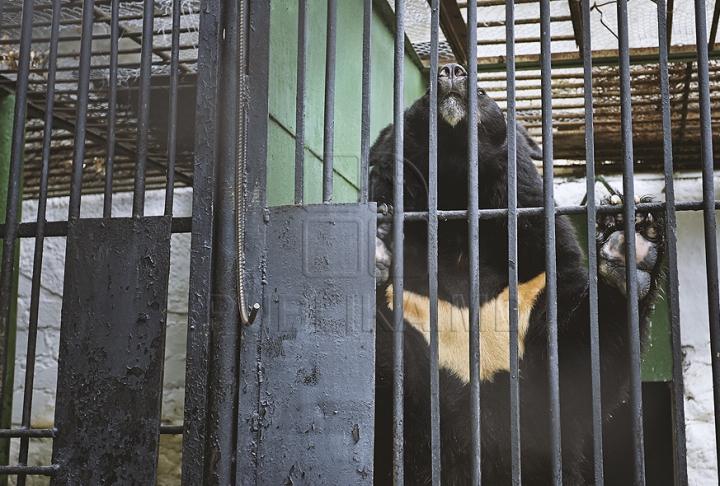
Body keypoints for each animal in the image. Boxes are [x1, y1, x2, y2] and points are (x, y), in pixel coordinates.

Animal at [372, 62, 664, 484]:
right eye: (423, 97)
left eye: (483, 92)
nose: (451, 71)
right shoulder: (409, 306)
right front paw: (377, 240)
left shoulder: (534, 278)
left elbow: (581, 365)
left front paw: (629, 241)